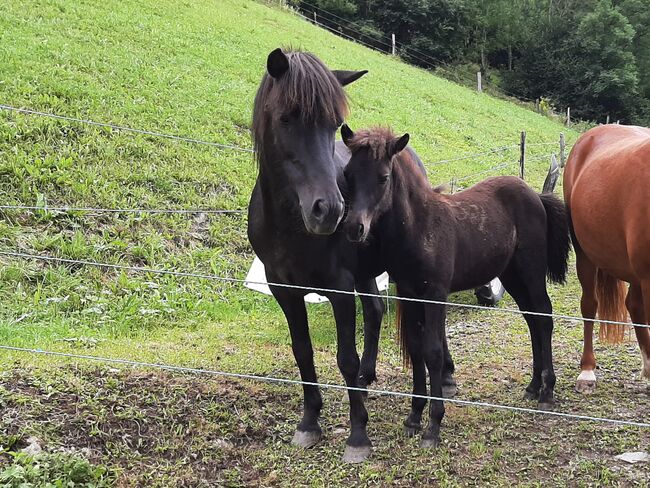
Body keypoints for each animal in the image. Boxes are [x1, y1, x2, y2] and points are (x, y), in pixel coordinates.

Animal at [340, 125, 568, 446]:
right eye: (348, 174)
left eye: (383, 177)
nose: (354, 228)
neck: (420, 227)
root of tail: (536, 195)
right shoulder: (409, 294)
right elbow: (417, 349)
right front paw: (414, 417)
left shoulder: (435, 294)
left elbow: (433, 352)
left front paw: (434, 425)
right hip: (511, 275)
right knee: (532, 319)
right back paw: (533, 386)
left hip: (531, 270)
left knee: (544, 316)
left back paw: (547, 391)